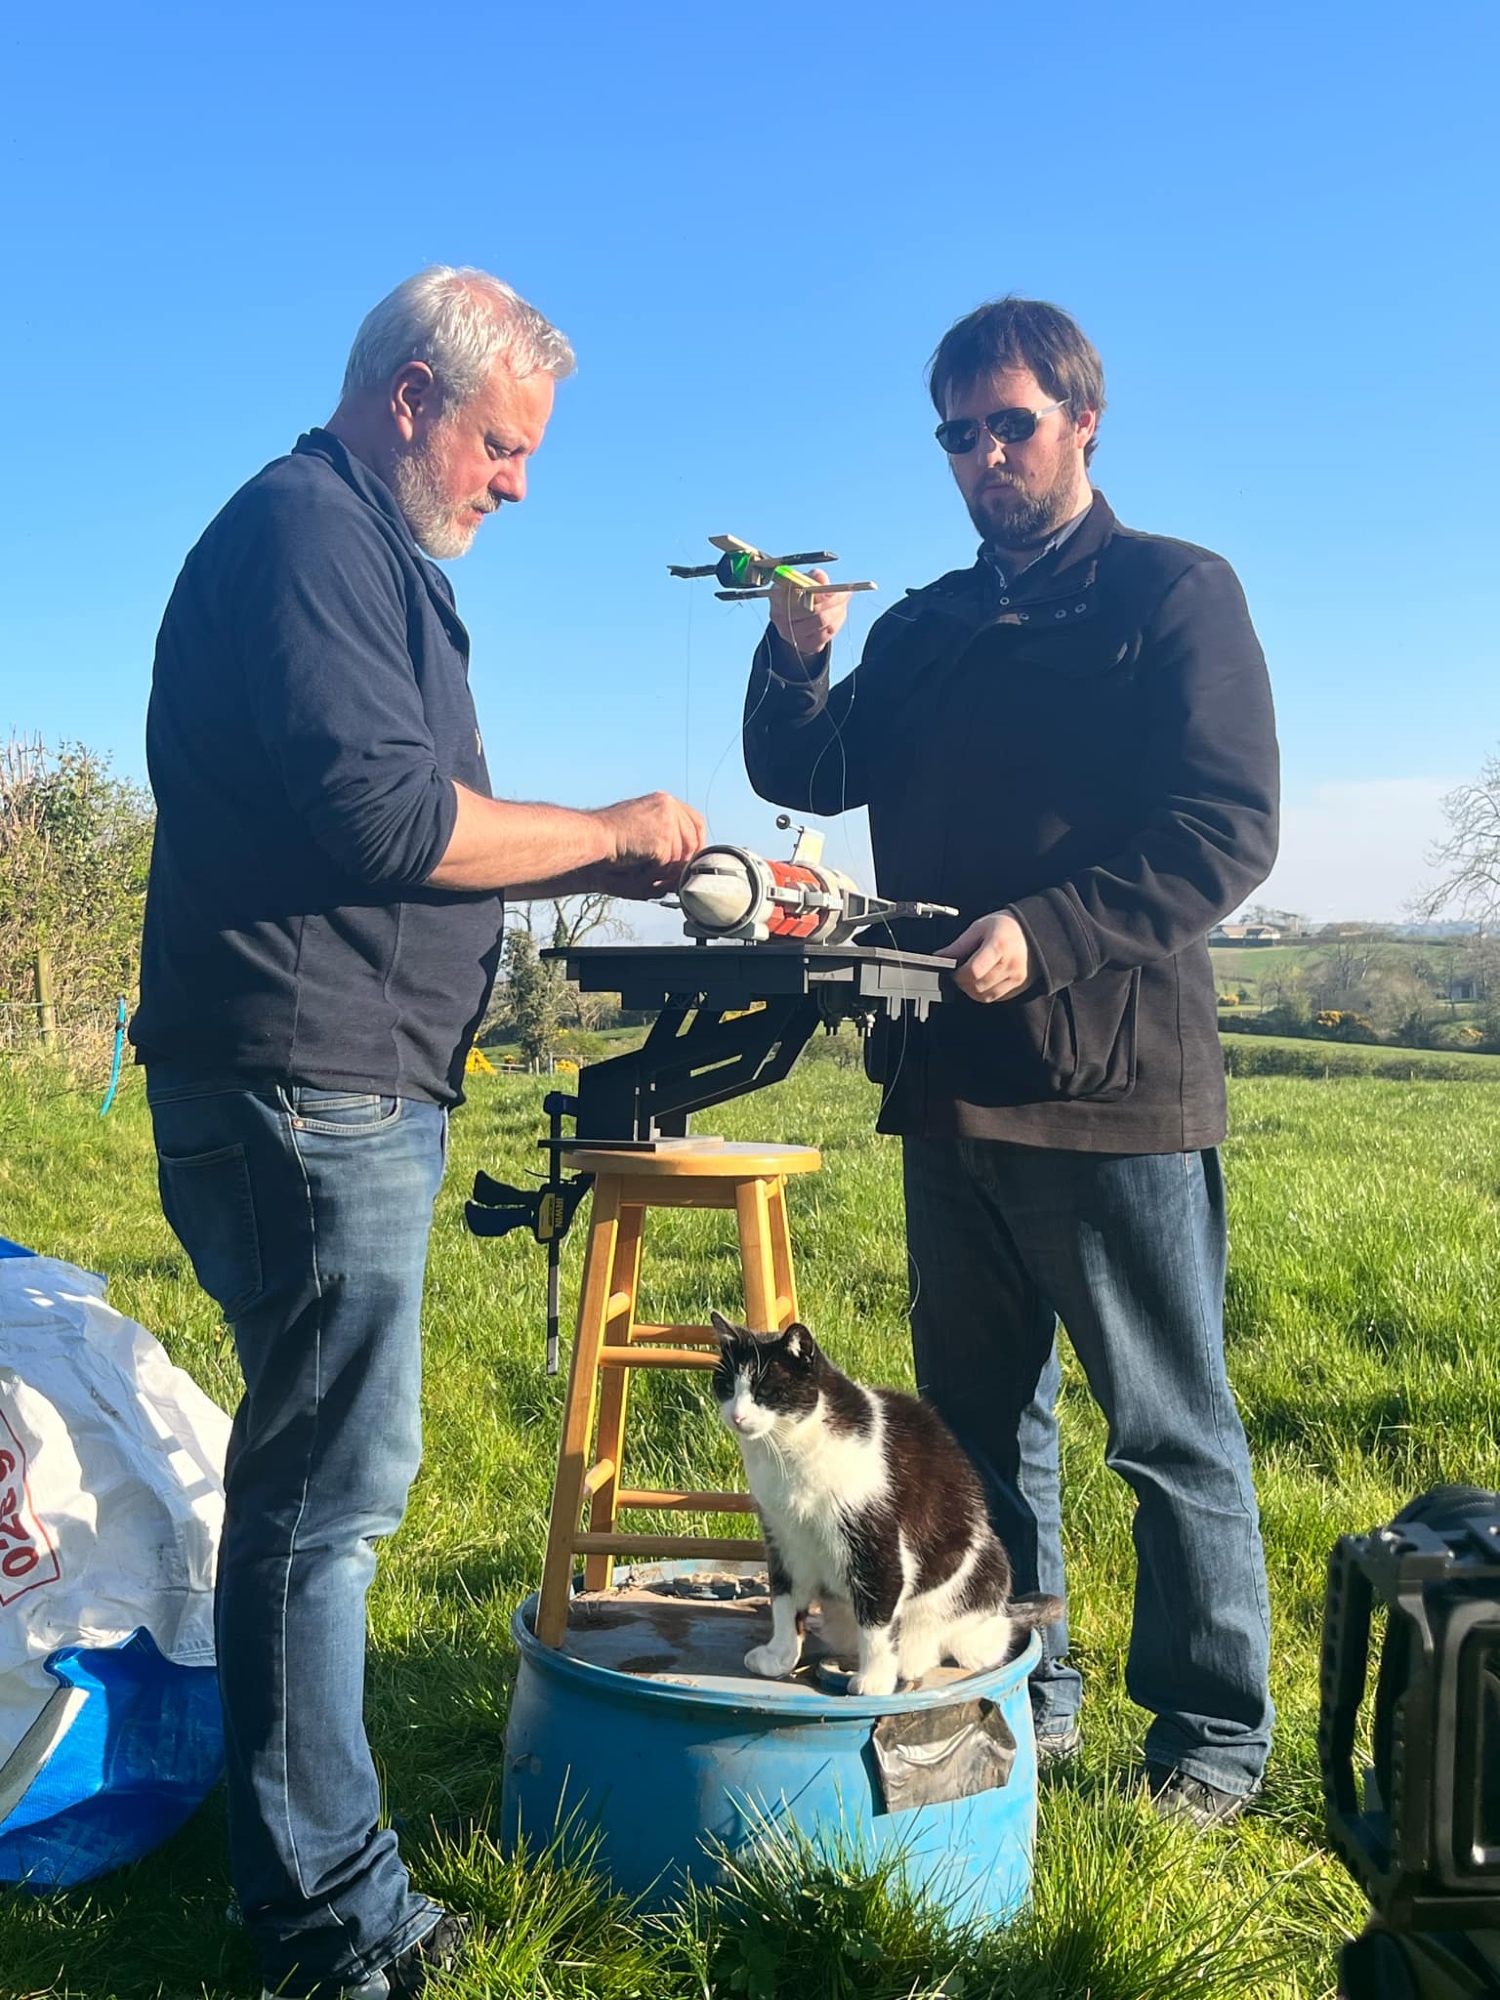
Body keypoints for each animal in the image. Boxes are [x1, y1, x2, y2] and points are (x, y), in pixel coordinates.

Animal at [710, 1310, 1062, 1697]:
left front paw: (874, 1679)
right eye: (726, 1386)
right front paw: (779, 1658)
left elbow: (876, 1620)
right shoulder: (783, 1538)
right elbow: (785, 1602)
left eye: (765, 1391)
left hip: (981, 1581)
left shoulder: (874, 1542)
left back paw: (913, 1658)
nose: (737, 1416)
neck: (787, 1454)